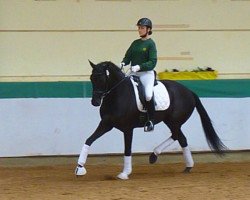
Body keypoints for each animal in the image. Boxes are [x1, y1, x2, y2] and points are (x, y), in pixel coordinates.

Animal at [74, 60, 227, 180]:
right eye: (91, 78)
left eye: (101, 78)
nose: (95, 102)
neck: (118, 94)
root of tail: (189, 91)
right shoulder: (106, 124)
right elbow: (89, 140)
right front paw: (79, 168)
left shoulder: (128, 129)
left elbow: (127, 149)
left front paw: (125, 173)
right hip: (171, 122)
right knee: (181, 138)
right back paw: (184, 165)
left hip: (174, 121)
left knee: (177, 136)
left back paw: (156, 156)